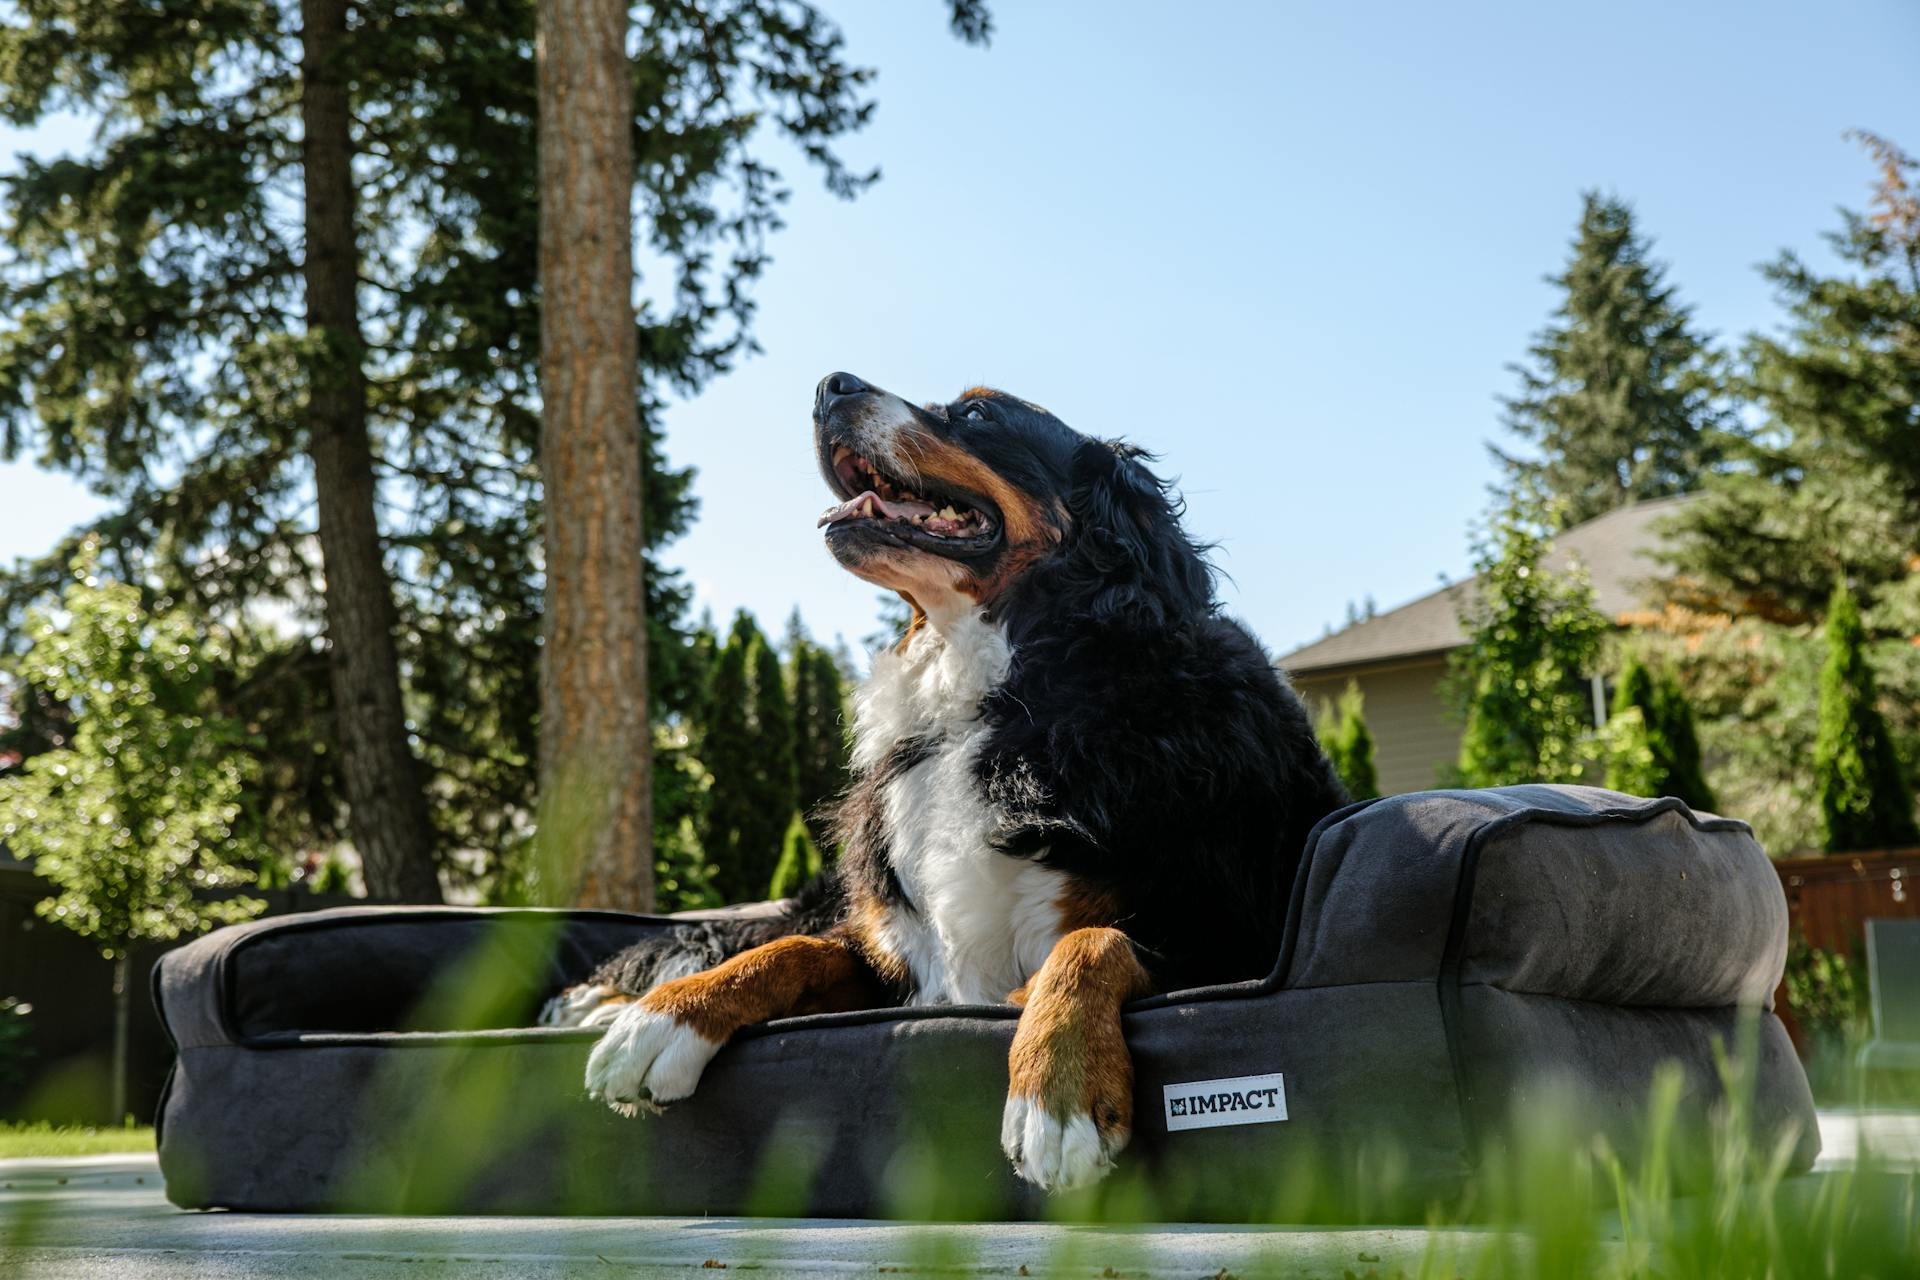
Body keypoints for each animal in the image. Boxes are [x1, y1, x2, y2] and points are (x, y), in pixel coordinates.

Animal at [541, 376, 1351, 1197]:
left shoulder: (1230, 937)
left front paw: (1057, 1088)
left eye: (979, 412)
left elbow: (1093, 941)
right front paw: (665, 1018)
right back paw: (600, 1003)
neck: (994, 697)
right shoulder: (897, 955)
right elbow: (796, 949)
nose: (830, 385)